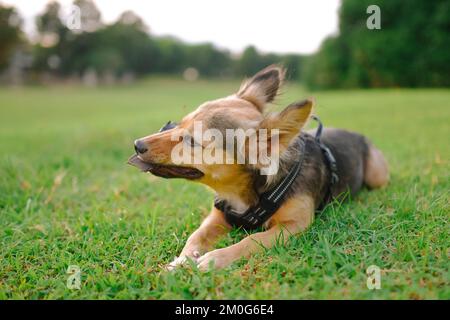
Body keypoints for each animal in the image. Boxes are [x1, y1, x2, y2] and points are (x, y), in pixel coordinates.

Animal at [128, 66, 388, 272]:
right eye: (177, 125)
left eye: (191, 141)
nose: (137, 144)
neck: (242, 194)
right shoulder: (216, 217)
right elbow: (195, 237)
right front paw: (181, 261)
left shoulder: (294, 225)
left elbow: (252, 240)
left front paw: (215, 259)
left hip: (377, 177)